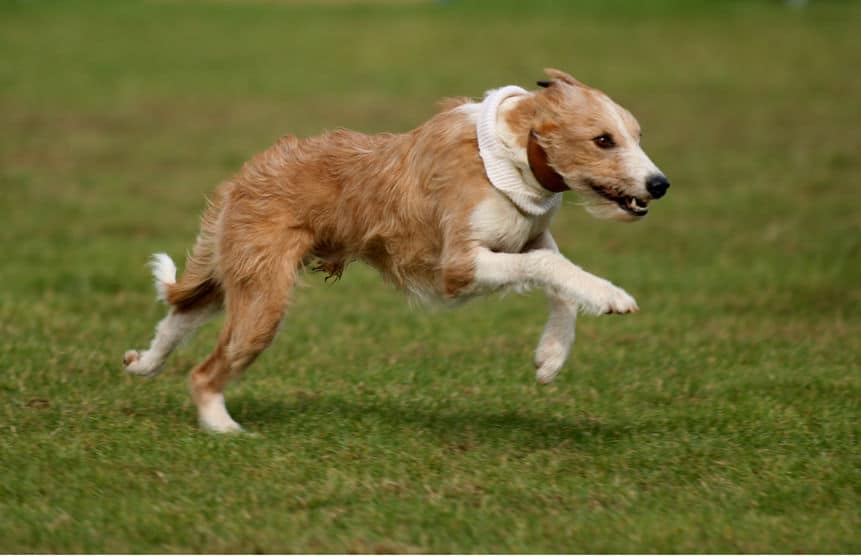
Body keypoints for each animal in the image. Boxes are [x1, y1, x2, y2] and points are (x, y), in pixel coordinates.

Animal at [124, 68, 668, 434]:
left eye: (638, 135)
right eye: (603, 140)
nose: (659, 184)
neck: (516, 153)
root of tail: (248, 173)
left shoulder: (527, 235)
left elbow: (558, 280)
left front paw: (551, 355)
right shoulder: (458, 267)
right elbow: (548, 264)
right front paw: (610, 297)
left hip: (238, 271)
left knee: (182, 314)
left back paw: (145, 363)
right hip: (264, 295)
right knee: (203, 371)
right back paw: (222, 426)